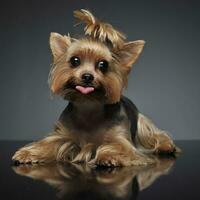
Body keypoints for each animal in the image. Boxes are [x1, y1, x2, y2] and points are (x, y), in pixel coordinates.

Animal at [11, 8, 180, 166]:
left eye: (103, 64)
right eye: (75, 60)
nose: (87, 76)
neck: (89, 105)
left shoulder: (121, 139)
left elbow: (119, 147)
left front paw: (109, 156)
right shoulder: (62, 135)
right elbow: (49, 144)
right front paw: (28, 153)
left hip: (142, 125)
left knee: (155, 135)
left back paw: (166, 146)